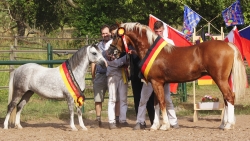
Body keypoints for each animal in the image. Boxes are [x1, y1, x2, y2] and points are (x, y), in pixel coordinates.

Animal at [108, 22, 248, 131]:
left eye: (115, 36)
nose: (109, 53)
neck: (150, 49)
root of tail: (229, 45)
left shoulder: (156, 82)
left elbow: (162, 103)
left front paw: (164, 126)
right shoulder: (157, 83)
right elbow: (156, 103)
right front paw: (155, 126)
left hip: (220, 79)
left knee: (229, 97)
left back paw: (228, 125)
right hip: (225, 79)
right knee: (226, 98)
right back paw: (223, 124)